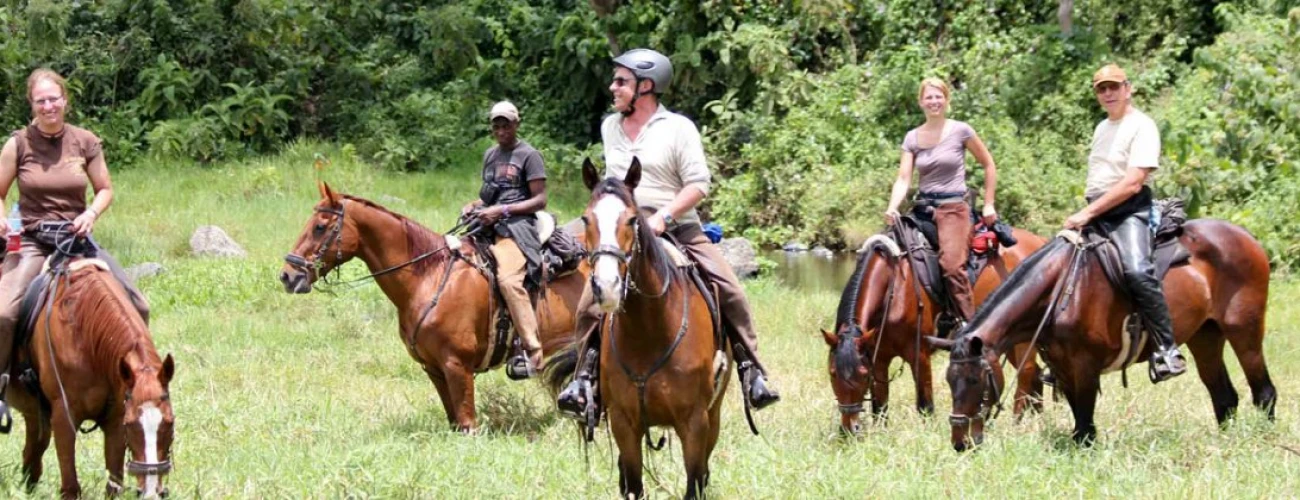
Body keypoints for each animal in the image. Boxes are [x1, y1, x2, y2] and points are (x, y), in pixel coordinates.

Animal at [5, 254, 175, 496]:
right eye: (132, 424)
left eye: (170, 423)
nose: (151, 492)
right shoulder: (63, 419)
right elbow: (70, 487)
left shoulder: (115, 422)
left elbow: (113, 486)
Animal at [286, 181, 595, 431]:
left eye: (320, 227)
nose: (288, 275)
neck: (429, 277)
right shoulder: (433, 368)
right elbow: (454, 421)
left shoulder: (457, 366)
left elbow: (468, 424)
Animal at [548, 159, 728, 498]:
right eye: (586, 218)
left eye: (632, 219)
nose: (606, 287)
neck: (649, 331)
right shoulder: (623, 422)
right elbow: (632, 484)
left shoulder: (695, 422)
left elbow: (694, 482)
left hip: (714, 414)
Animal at [826, 225, 1050, 431]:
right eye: (832, 373)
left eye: (863, 374)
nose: (849, 428)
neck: (893, 287)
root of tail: (1039, 240)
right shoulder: (879, 357)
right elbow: (880, 406)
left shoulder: (919, 353)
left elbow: (925, 404)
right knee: (1036, 374)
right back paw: (1036, 419)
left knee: (1026, 373)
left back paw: (1017, 423)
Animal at [930, 218, 1274, 446]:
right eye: (949, 381)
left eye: (975, 380)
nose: (961, 442)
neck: (1060, 289)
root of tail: (1247, 237)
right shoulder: (1062, 367)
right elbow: (1079, 423)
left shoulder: (1084, 366)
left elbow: (1084, 426)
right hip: (1205, 336)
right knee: (1224, 397)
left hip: (1244, 330)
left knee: (1264, 392)